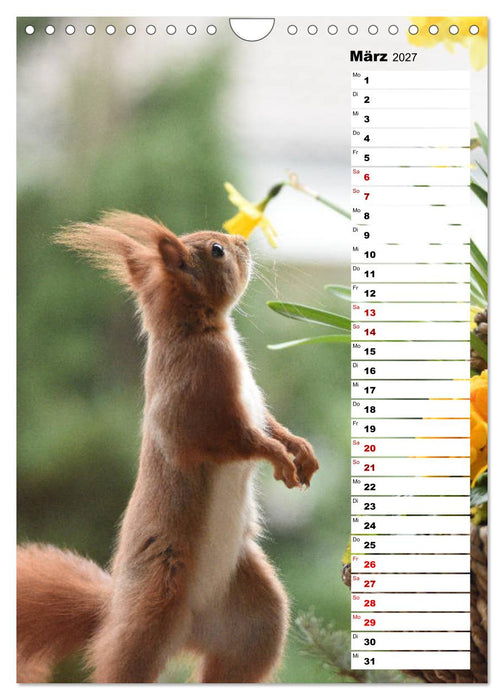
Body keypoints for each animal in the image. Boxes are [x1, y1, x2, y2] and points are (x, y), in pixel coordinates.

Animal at [17, 211, 319, 683]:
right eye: (216, 251)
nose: (242, 243)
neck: (193, 328)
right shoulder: (195, 405)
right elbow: (234, 440)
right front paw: (278, 457)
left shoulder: (251, 404)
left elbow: (269, 425)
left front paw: (299, 449)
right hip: (152, 607)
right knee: (123, 664)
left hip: (254, 617)